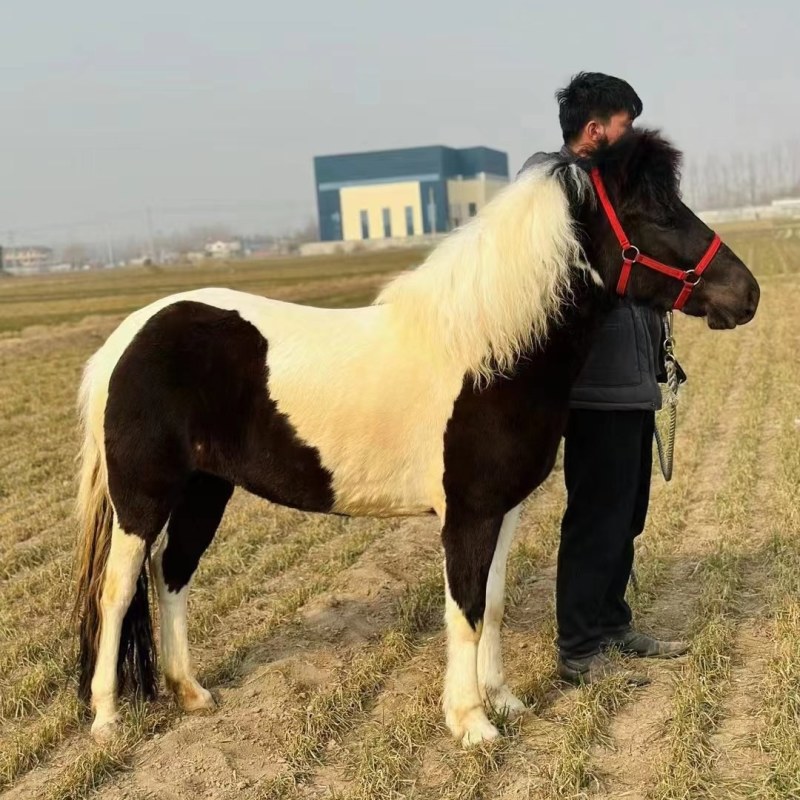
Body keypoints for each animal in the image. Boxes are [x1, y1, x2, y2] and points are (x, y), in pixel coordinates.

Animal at [73, 129, 759, 746]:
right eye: (656, 212)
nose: (746, 294)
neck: (486, 355)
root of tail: (128, 338)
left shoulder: (502, 511)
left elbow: (495, 602)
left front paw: (503, 701)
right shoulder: (467, 516)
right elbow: (466, 611)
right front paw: (471, 724)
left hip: (205, 490)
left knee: (172, 573)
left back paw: (191, 693)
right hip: (144, 501)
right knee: (117, 591)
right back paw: (106, 721)